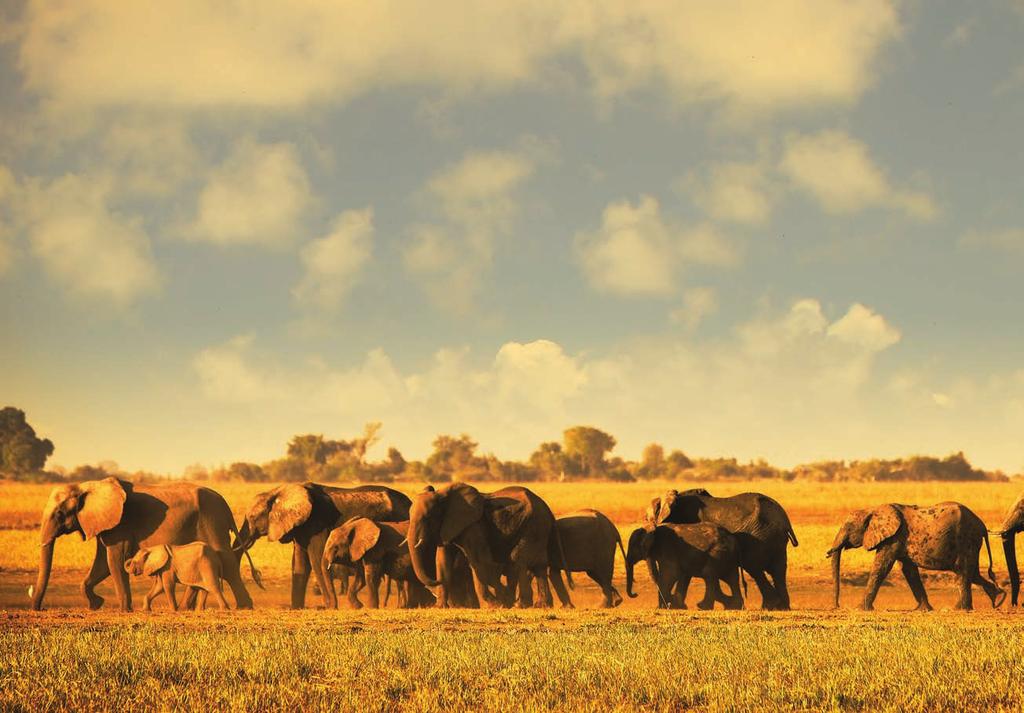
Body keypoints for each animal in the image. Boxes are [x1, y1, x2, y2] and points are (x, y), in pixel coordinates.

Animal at [29, 475, 253, 610]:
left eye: (59, 514)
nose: (40, 608)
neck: (87, 485)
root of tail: (225, 504)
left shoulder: (120, 524)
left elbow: (114, 561)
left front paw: (124, 610)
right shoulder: (105, 524)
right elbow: (102, 564)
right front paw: (96, 605)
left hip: (211, 520)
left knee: (227, 561)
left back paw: (244, 607)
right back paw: (186, 608)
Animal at [234, 481, 409, 610]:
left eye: (252, 517)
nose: (257, 576)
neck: (276, 491)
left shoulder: (316, 523)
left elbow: (316, 559)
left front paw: (329, 607)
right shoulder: (300, 526)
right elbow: (299, 563)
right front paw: (296, 608)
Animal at [407, 479, 569, 606]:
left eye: (428, 517)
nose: (436, 581)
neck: (443, 495)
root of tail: (548, 509)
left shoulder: (473, 526)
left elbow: (478, 561)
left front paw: (498, 603)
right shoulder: (449, 526)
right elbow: (442, 561)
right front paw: (440, 607)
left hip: (534, 525)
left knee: (518, 559)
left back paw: (520, 604)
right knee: (538, 565)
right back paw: (541, 605)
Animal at [647, 489, 798, 614]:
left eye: (648, 519)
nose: (668, 601)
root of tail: (785, 520)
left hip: (761, 536)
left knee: (754, 568)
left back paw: (770, 606)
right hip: (773, 539)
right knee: (777, 571)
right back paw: (781, 607)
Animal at [823, 501, 999, 614]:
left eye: (848, 527)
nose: (836, 606)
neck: (871, 509)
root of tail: (982, 525)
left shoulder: (894, 537)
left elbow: (882, 566)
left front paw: (859, 609)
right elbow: (909, 571)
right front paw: (924, 609)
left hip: (966, 539)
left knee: (963, 572)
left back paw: (958, 609)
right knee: (971, 573)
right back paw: (998, 597)